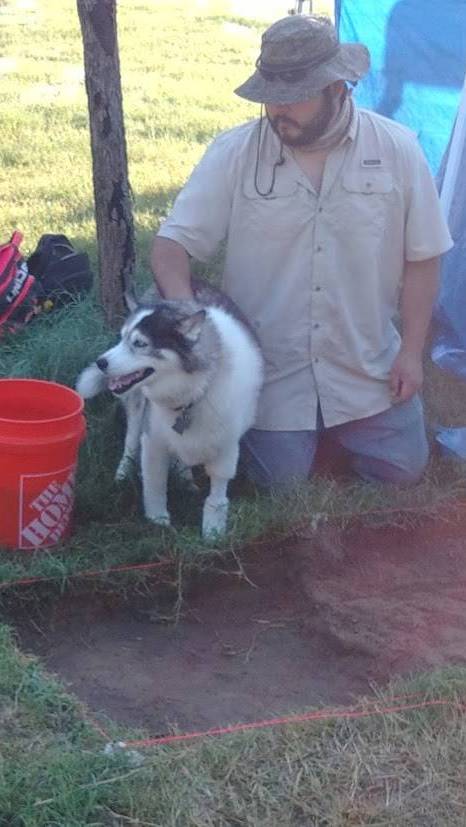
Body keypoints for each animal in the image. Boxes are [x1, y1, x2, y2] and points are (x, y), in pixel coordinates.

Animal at [76, 284, 262, 540]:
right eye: (122, 338)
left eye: (140, 343)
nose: (100, 362)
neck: (191, 394)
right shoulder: (153, 439)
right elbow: (155, 483)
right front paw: (157, 520)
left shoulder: (226, 444)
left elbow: (218, 490)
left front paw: (213, 529)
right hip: (137, 408)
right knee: (130, 443)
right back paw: (122, 476)